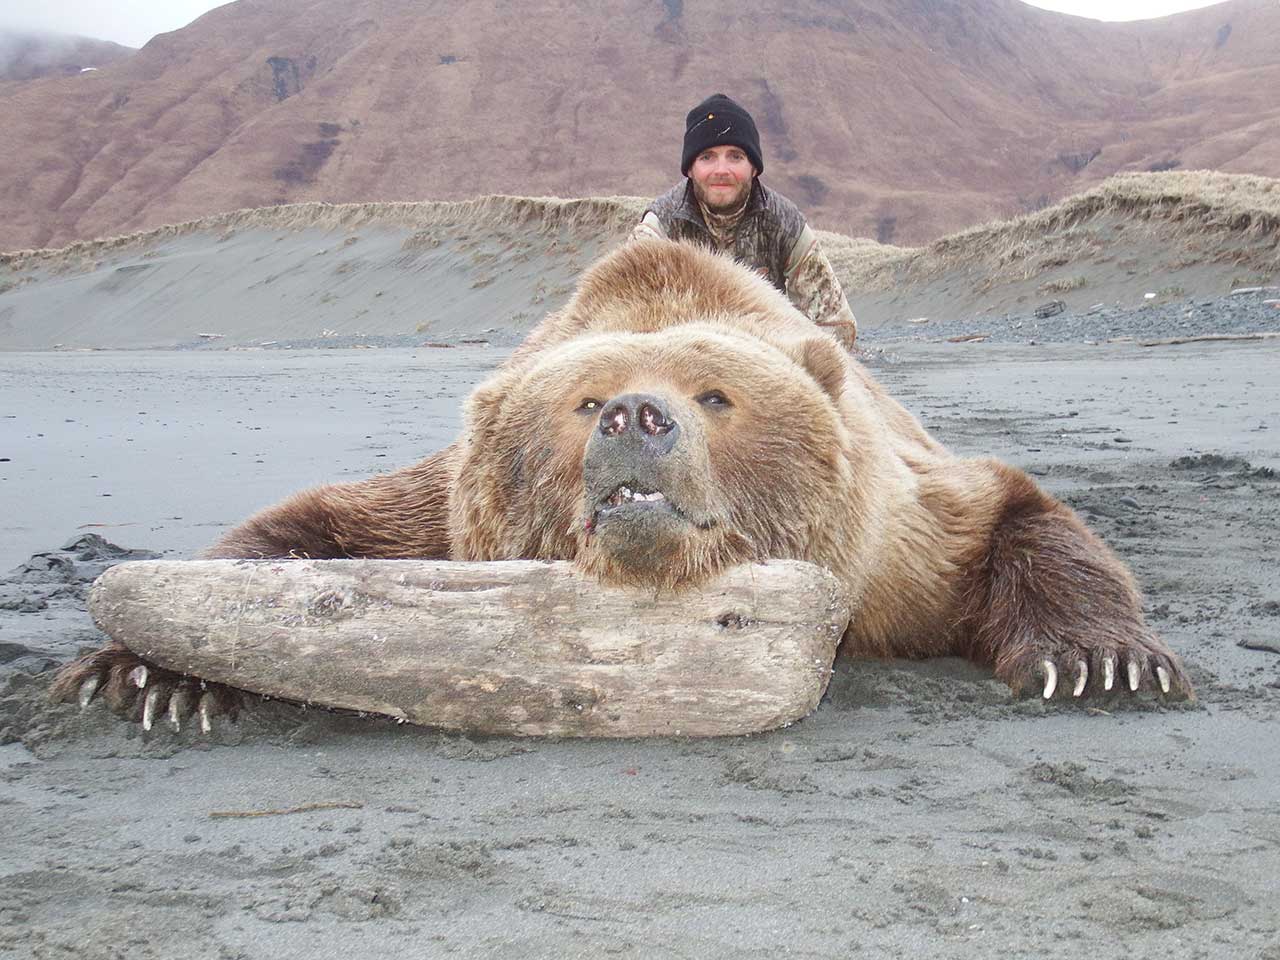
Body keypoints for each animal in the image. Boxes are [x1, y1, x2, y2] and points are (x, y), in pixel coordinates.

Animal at [49, 239, 1187, 727]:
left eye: (717, 393)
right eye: (580, 397)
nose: (637, 418)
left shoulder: (896, 542)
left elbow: (1008, 512)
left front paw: (1099, 661)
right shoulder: (445, 522)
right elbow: (317, 528)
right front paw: (152, 671)